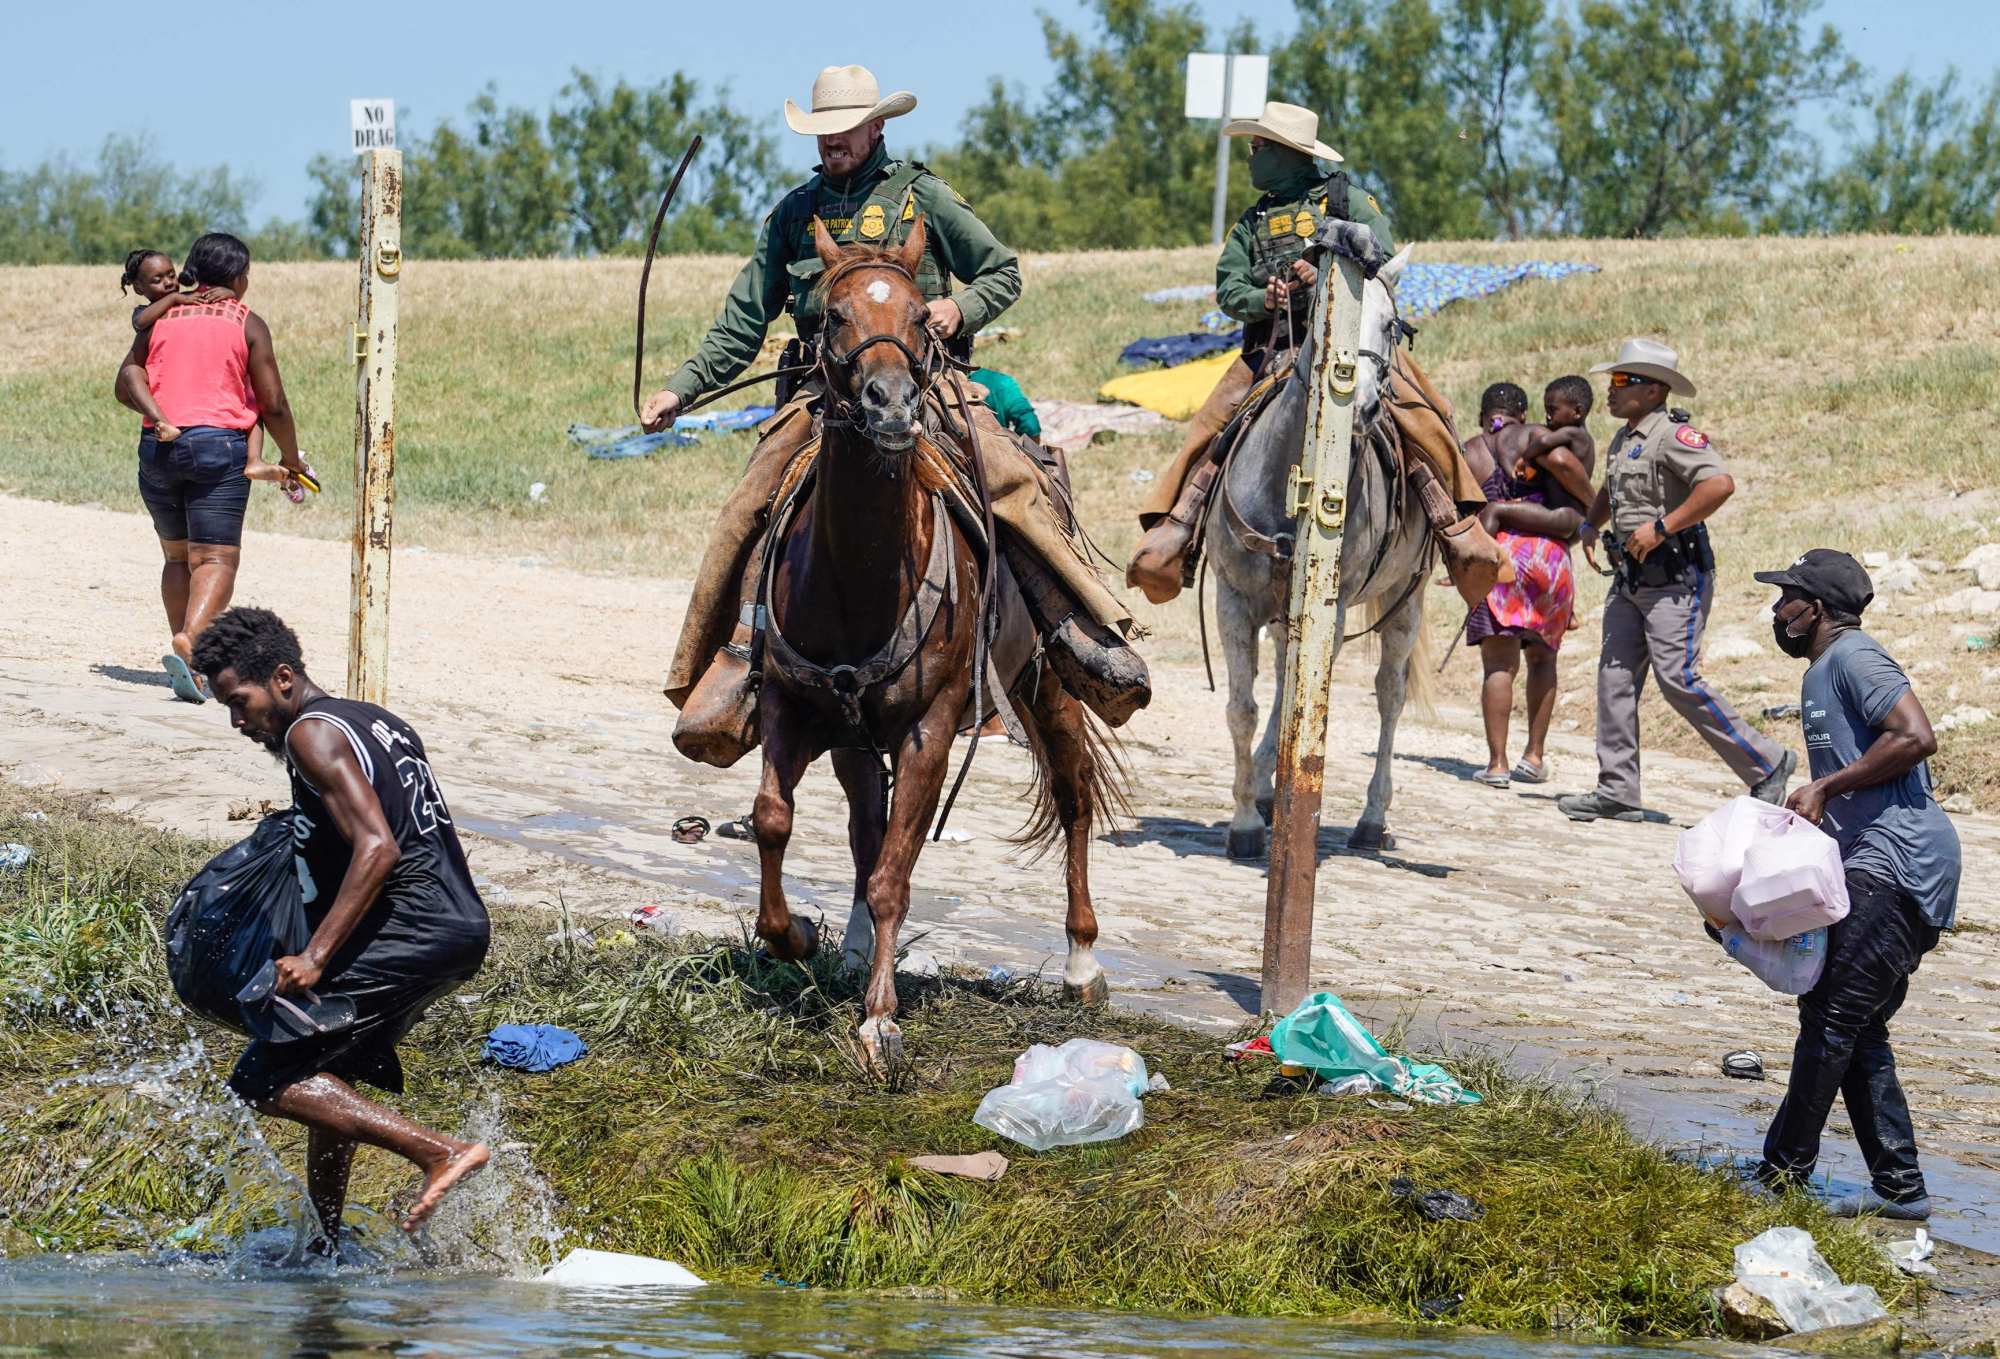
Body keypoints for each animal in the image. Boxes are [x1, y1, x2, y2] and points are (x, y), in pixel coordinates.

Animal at [752, 214, 1128, 1071]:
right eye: (832, 314)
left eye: (923, 316)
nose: (891, 405)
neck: (859, 576)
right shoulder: (794, 705)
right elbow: (775, 820)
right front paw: (796, 936)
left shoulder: (929, 730)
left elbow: (897, 870)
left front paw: (879, 1021)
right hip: (856, 737)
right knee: (865, 826)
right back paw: (858, 945)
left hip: (1046, 686)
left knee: (1073, 795)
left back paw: (1081, 961)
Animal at [1200, 241, 1440, 859]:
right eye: (1320, 319)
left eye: (1393, 326)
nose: (1362, 407)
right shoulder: (1234, 599)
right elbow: (1242, 709)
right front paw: (1245, 821)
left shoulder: (1329, 610)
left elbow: (1308, 706)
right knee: (1286, 681)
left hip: (1406, 601)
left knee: (1388, 696)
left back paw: (1371, 819)